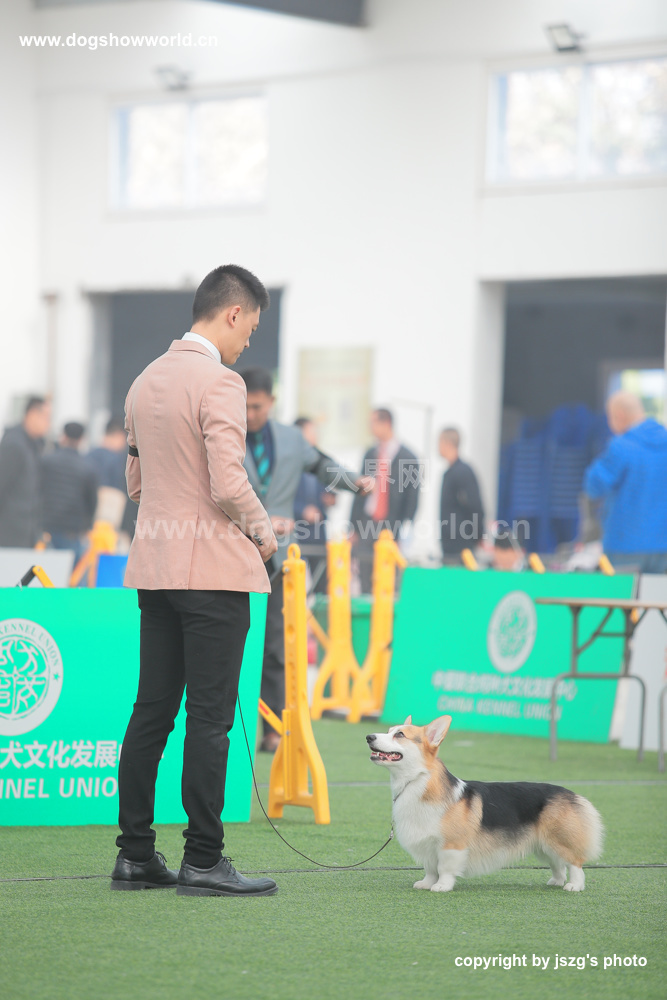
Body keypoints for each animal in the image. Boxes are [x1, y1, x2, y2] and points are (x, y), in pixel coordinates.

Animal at [366, 715, 603, 893]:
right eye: (389, 730)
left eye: (399, 735)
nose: (369, 736)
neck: (416, 781)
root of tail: (573, 794)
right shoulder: (427, 846)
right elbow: (431, 869)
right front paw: (426, 883)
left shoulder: (451, 845)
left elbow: (444, 868)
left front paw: (441, 886)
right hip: (543, 844)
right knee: (557, 863)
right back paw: (556, 881)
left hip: (559, 839)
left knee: (574, 862)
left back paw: (574, 885)